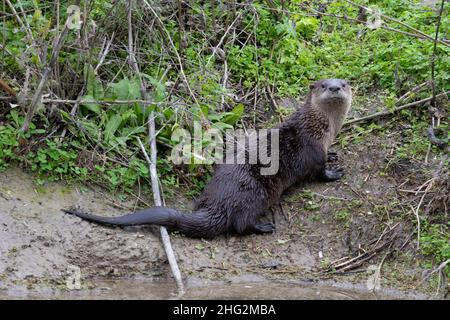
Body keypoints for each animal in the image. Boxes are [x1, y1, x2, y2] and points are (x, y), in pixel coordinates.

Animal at [63, 77, 352, 238]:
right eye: (324, 85)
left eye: (344, 83)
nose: (335, 88)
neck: (320, 128)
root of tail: (217, 203)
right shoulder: (313, 149)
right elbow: (318, 171)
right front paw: (334, 173)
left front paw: (334, 153)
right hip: (256, 194)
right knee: (240, 224)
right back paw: (263, 227)